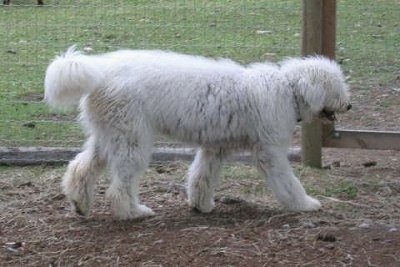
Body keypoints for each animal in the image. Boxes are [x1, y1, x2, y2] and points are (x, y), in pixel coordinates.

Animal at [43, 46, 350, 221]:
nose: (349, 105)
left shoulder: (214, 148)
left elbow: (202, 176)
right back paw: (132, 212)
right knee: (121, 185)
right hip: (132, 140)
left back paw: (80, 204)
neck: (287, 89)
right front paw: (304, 204)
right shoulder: (269, 152)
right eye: (337, 87)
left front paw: (201, 205)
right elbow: (288, 182)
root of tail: (100, 70)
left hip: (109, 136)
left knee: (81, 167)